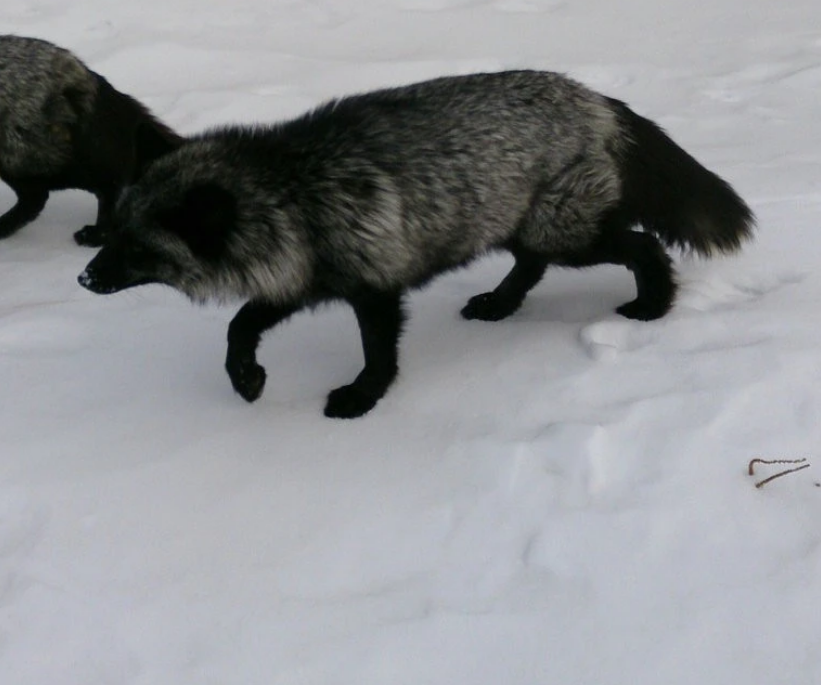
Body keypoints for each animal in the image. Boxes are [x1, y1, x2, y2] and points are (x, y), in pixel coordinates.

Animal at [78, 72, 756, 420]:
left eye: (138, 249)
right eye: (114, 234)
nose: (84, 280)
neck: (294, 196)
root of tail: (596, 97)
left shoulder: (373, 288)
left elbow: (378, 354)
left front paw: (362, 398)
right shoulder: (301, 278)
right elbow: (239, 326)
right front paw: (247, 380)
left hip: (567, 232)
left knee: (642, 246)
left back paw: (653, 306)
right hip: (524, 224)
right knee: (530, 266)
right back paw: (498, 306)